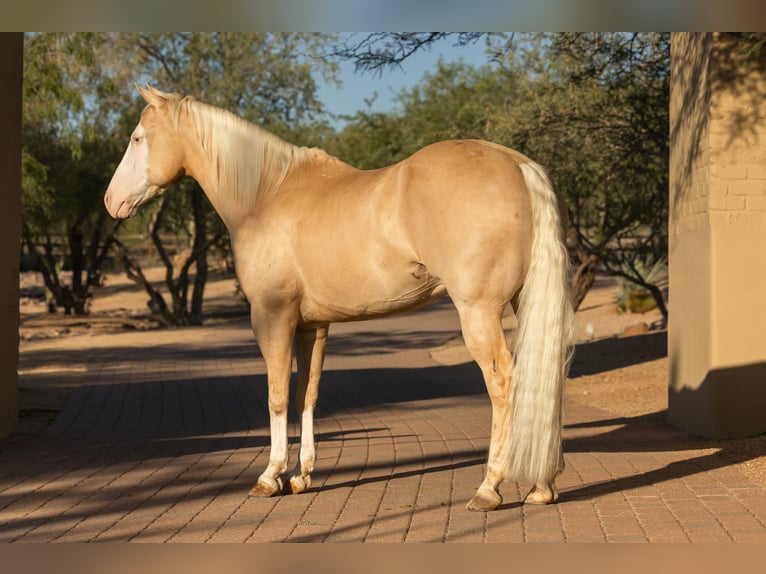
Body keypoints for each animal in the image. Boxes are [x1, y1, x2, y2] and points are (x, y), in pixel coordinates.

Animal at [104, 85, 574, 511]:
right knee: (544, 378)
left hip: (478, 311)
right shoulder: (313, 326)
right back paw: (542, 486)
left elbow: (277, 395)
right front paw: (301, 476)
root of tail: (517, 165)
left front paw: (270, 476)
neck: (266, 197)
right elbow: (306, 395)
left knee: (504, 381)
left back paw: (489, 487)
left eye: (137, 138)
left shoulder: (272, 318)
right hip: (522, 303)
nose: (111, 201)